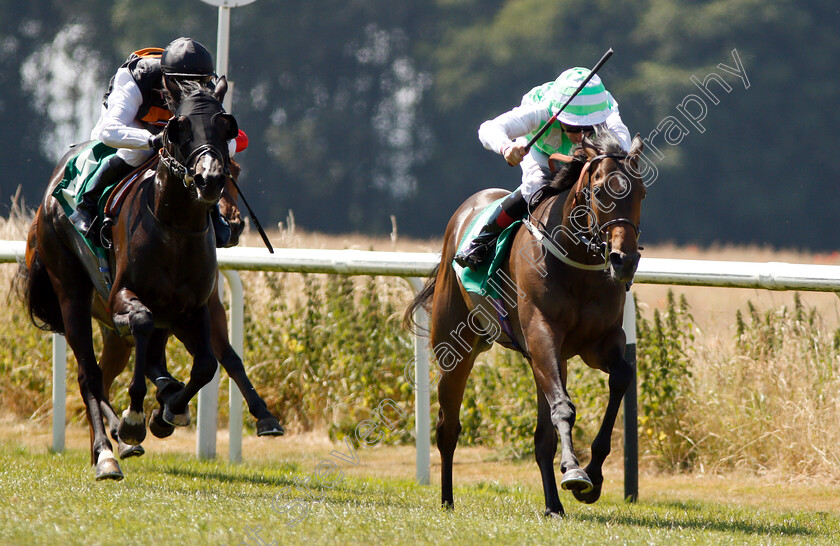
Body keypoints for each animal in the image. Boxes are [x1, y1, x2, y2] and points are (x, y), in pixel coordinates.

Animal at [19, 87, 253, 478]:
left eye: (226, 126)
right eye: (179, 127)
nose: (209, 179)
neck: (175, 229)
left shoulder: (192, 309)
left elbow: (206, 364)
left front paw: (167, 411)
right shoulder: (122, 298)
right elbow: (142, 325)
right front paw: (134, 418)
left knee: (108, 371)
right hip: (70, 293)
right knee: (89, 375)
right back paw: (106, 453)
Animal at [404, 131, 648, 516]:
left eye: (641, 192)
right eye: (598, 191)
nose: (624, 260)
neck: (575, 264)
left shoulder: (599, 342)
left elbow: (621, 377)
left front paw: (592, 474)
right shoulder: (541, 334)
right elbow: (563, 406)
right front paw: (575, 471)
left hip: (547, 359)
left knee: (541, 438)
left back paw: (553, 506)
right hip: (457, 350)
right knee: (448, 428)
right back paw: (447, 500)